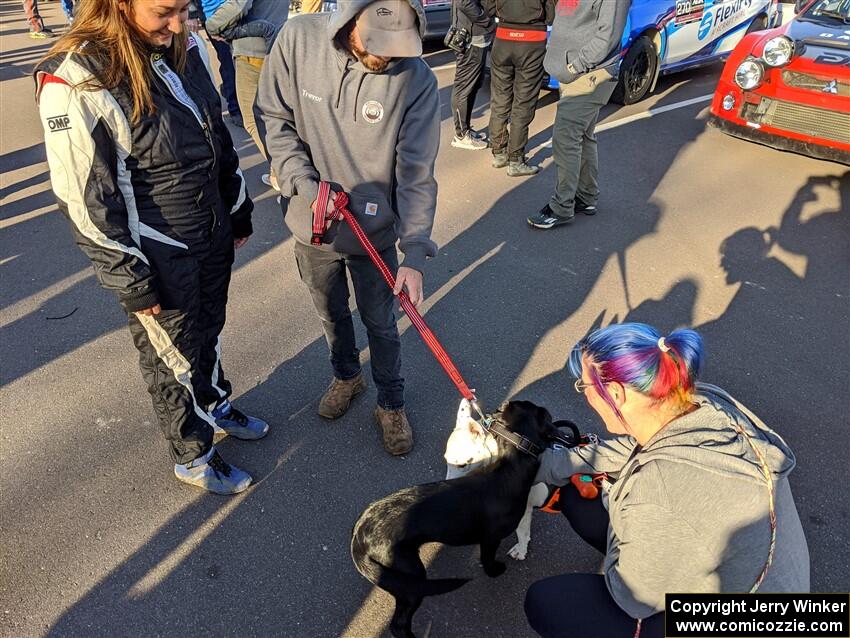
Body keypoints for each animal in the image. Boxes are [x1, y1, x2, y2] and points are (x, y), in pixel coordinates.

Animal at [350, 402, 556, 636]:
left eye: (462, 465)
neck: (509, 464)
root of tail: (358, 536)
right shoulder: (491, 539)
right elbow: (497, 553)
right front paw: (500, 567)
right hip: (411, 578)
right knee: (398, 624)